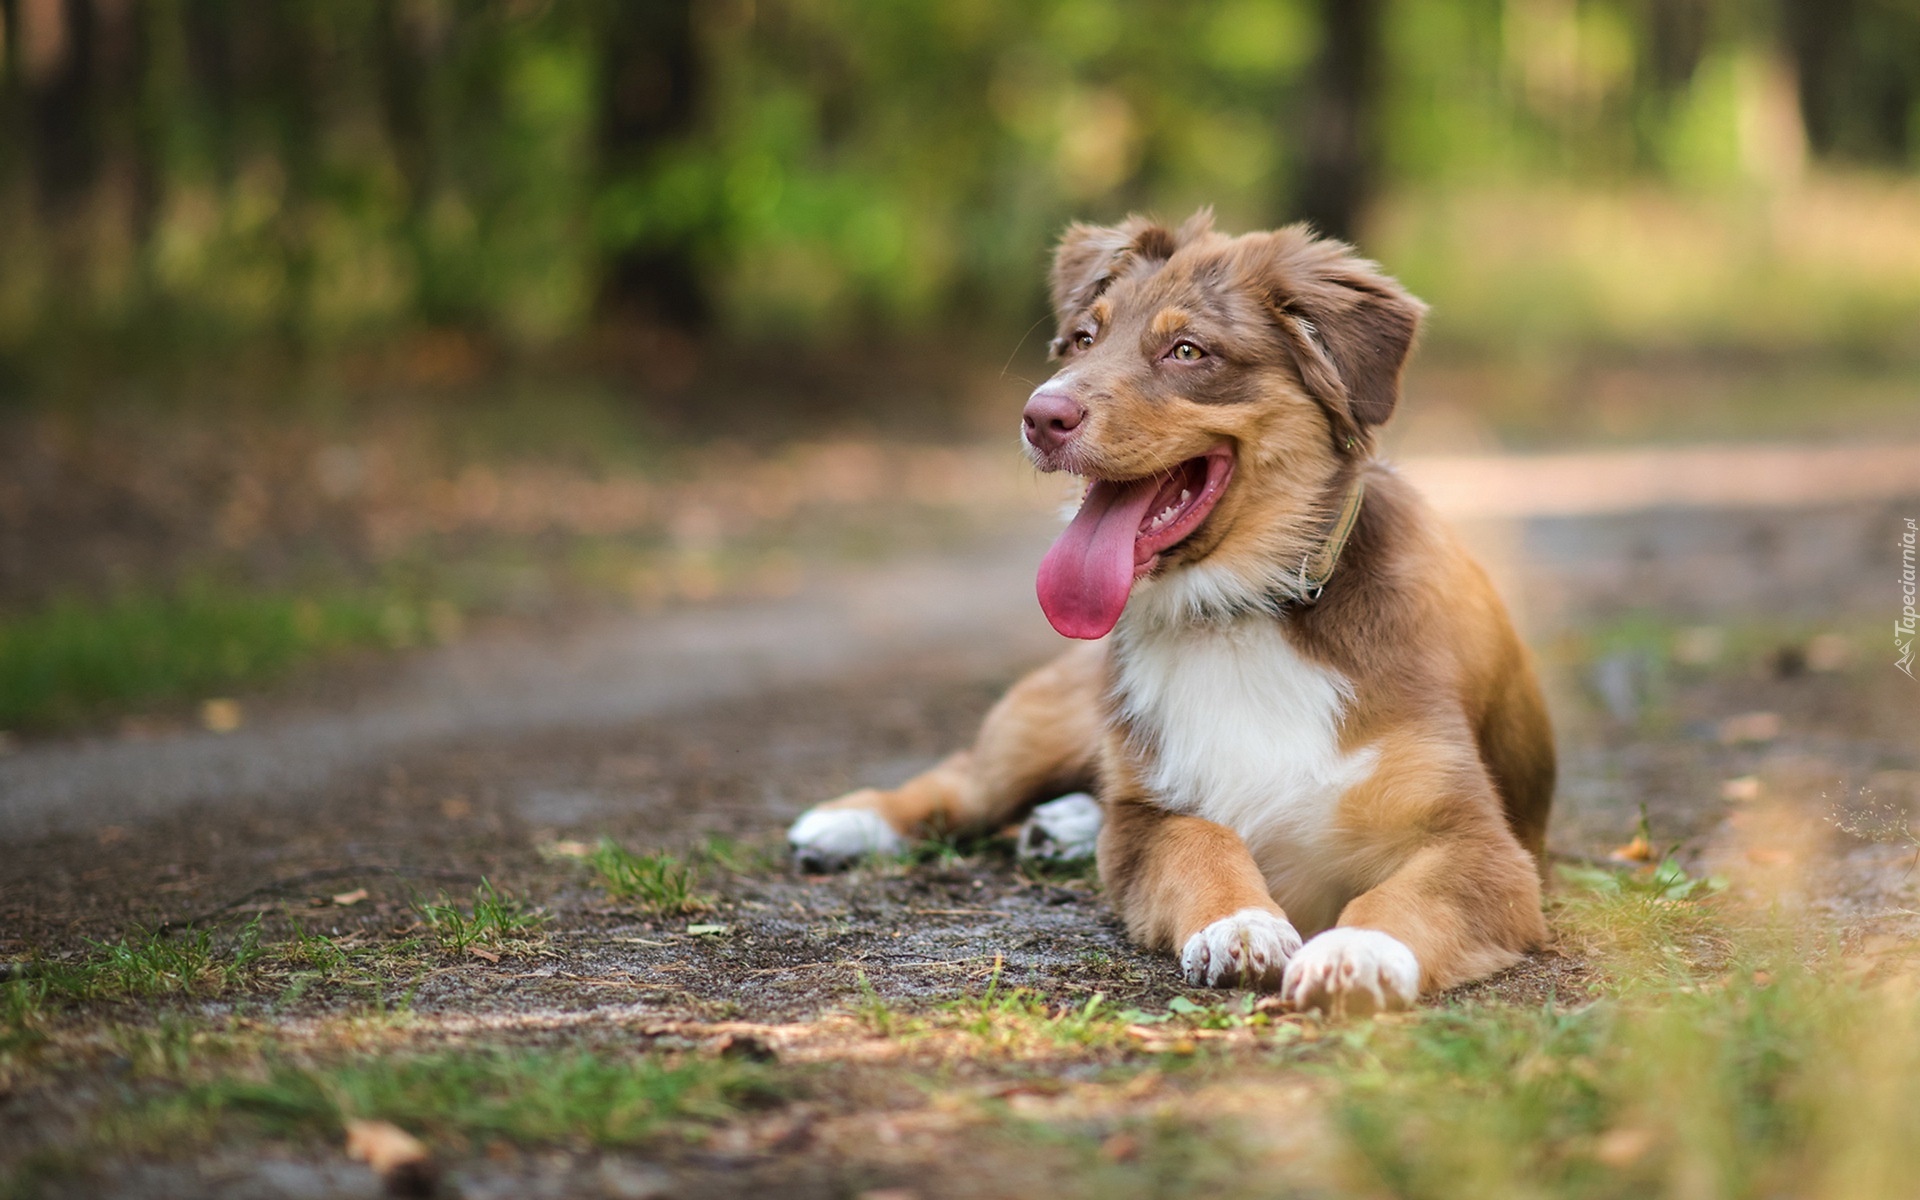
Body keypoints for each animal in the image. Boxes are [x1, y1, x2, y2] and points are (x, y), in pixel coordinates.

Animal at [787, 213, 1551, 1013]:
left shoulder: (1482, 842)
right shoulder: (1145, 822)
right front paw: (1240, 923)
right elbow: (1199, 841)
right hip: (1056, 716)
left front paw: (1357, 951)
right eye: (1083, 338)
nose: (1039, 416)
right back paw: (851, 821)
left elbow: (1404, 895)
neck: (1239, 611)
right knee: (968, 780)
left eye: (1188, 351)